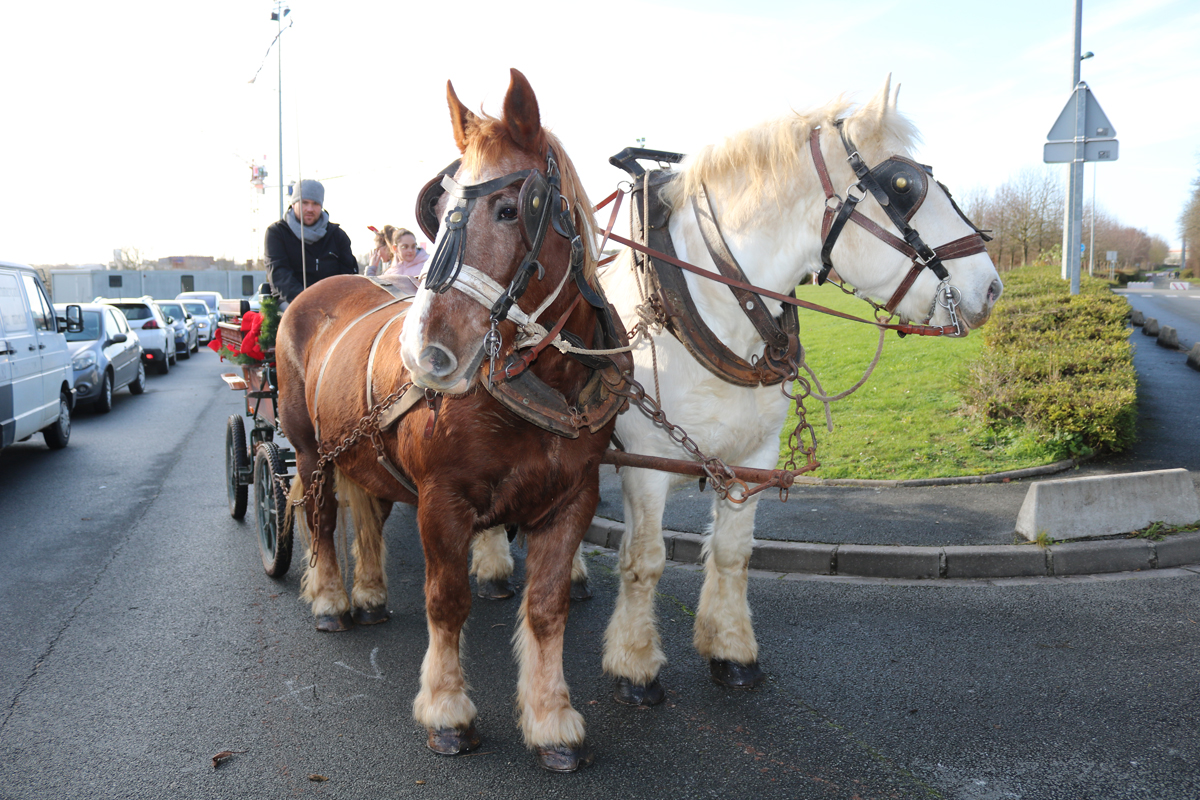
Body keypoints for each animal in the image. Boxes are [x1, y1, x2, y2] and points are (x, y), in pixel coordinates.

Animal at [274, 68, 628, 772]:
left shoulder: (574, 496)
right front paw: (446, 709)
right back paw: (330, 597)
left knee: (368, 509)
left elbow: (547, 607)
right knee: (322, 515)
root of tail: (319, 290)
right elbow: (447, 601)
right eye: (437, 214)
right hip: (310, 449)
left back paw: (370, 593)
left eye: (510, 209)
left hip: (360, 447)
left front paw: (550, 718)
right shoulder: (442, 499)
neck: (536, 383)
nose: (426, 355)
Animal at [472, 77, 1003, 704]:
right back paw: (491, 567)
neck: (710, 306)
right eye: (903, 187)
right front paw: (634, 665)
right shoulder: (646, 463)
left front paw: (729, 649)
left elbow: (732, 553)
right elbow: (644, 560)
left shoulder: (755, 456)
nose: (990, 288)